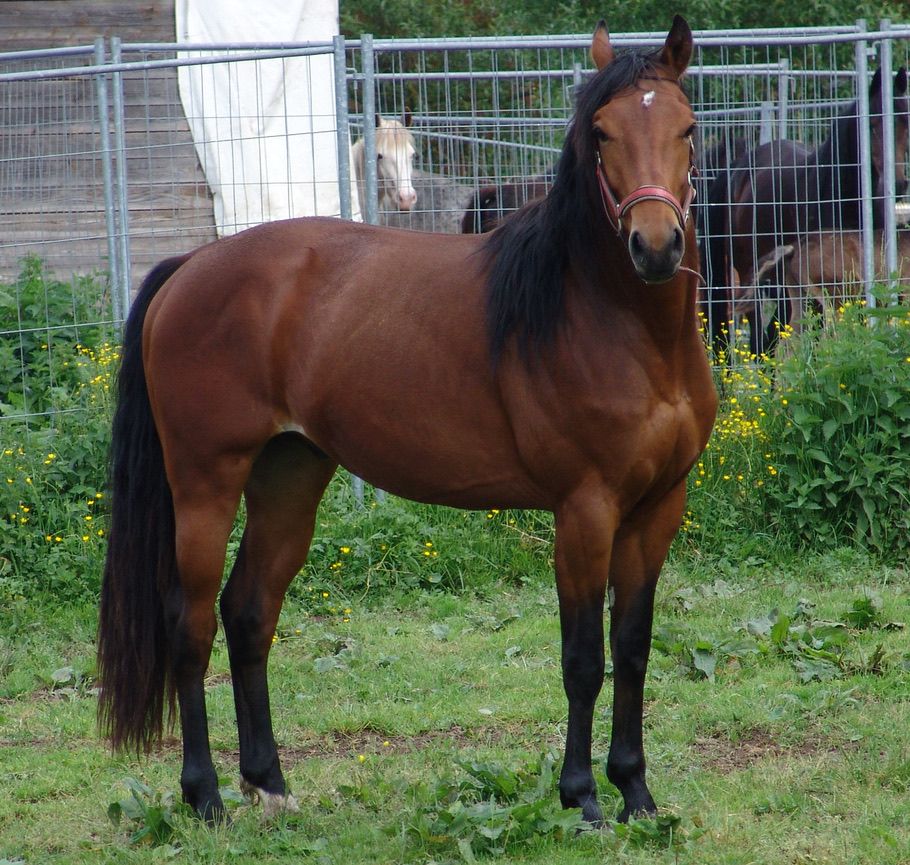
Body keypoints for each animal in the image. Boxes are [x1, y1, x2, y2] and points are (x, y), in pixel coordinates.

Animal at [94, 16, 720, 828]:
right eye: (603, 132)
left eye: (688, 127)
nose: (655, 246)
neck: (614, 322)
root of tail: (190, 268)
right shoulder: (586, 510)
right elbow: (583, 657)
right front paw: (581, 797)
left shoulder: (657, 509)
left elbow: (634, 648)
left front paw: (637, 792)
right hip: (206, 484)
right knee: (190, 623)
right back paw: (204, 796)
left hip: (288, 479)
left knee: (249, 612)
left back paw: (270, 781)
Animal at [700, 66, 908, 358]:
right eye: (873, 126)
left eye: (906, 125)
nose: (899, 184)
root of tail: (737, 168)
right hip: (749, 274)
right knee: (761, 334)